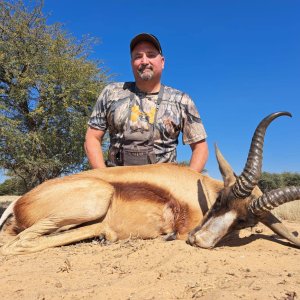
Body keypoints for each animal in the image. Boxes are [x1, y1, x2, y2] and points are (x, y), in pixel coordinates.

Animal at [0, 111, 298, 254]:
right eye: (219, 201)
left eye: (244, 221)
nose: (199, 241)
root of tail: (19, 202)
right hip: (96, 200)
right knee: (19, 244)